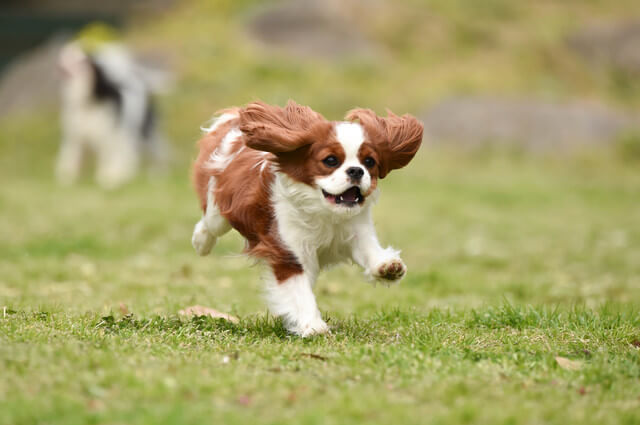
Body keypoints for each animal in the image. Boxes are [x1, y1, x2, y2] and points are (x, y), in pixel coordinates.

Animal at [56, 44, 169, 188]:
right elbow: (69, 157)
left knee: (148, 151)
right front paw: (66, 179)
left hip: (141, 132)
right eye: (66, 54)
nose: (60, 64)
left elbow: (105, 159)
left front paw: (105, 178)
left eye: (82, 60)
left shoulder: (106, 135)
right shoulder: (75, 135)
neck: (89, 100)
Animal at [192, 101, 422, 336]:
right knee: (210, 223)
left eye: (369, 162)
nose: (356, 170)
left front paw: (388, 267)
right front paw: (312, 325)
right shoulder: (288, 251)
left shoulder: (356, 230)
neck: (324, 211)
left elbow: (369, 250)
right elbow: (299, 291)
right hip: (218, 207)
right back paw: (201, 242)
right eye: (330, 161)